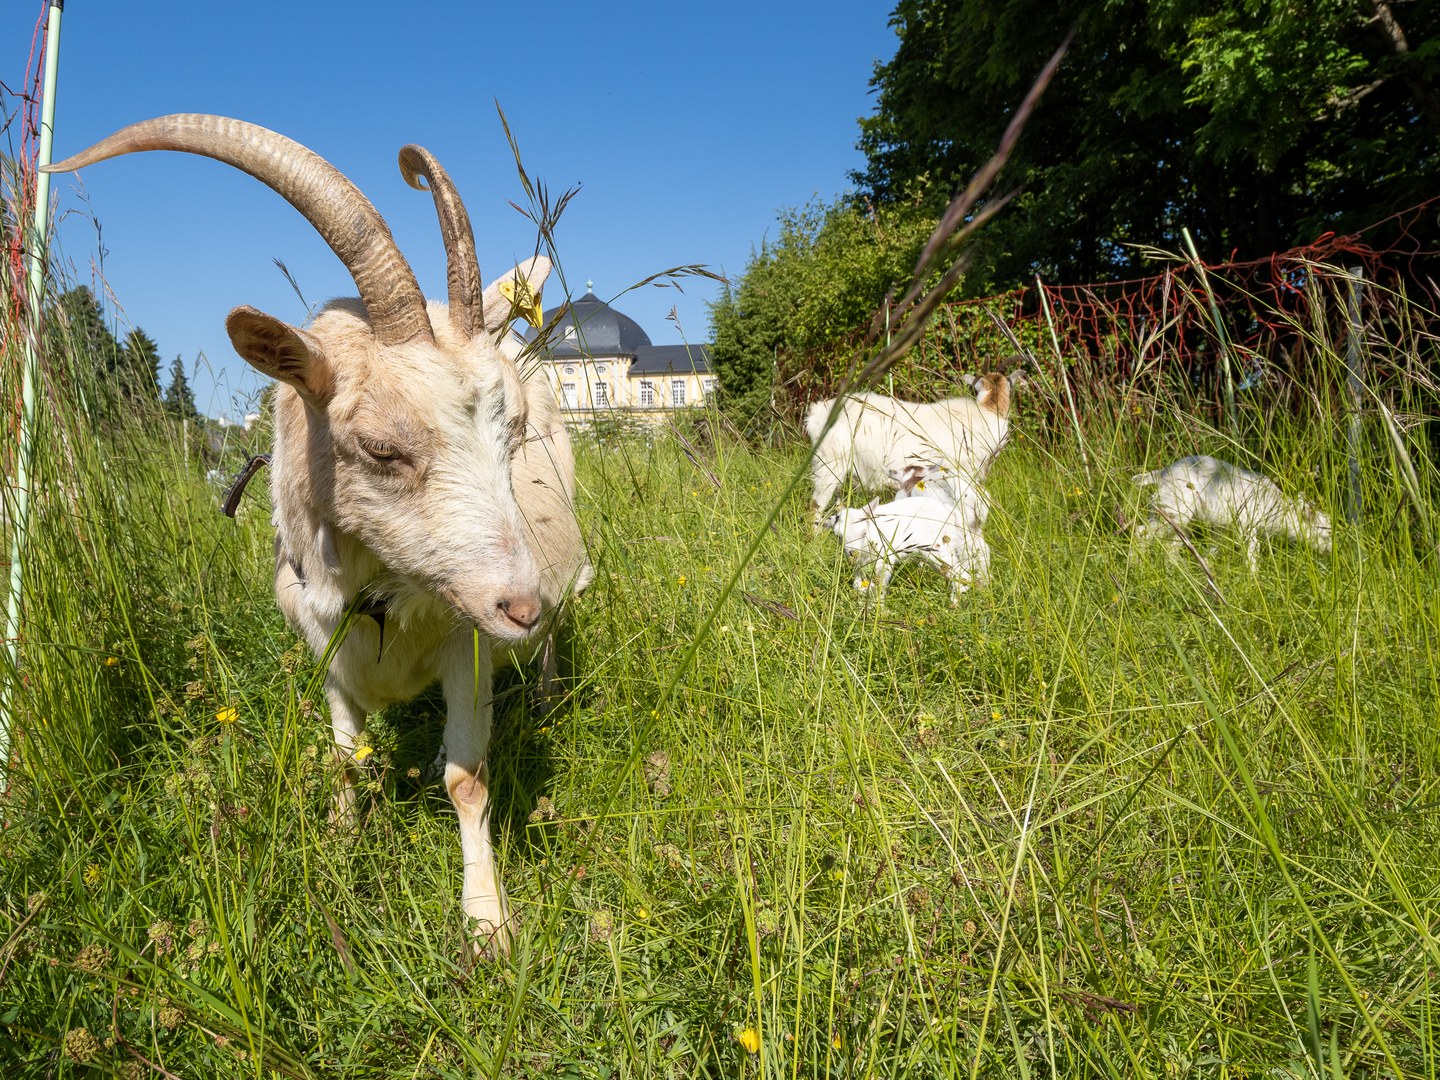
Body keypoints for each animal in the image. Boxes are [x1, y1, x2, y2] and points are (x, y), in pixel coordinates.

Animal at [49, 114, 590, 961]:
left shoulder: (468, 650)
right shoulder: (324, 646)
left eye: (514, 431)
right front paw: (339, 844)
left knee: (553, 647)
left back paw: (544, 692)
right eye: (382, 449)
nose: (518, 605)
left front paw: (486, 926)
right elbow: (344, 759)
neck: (384, 596)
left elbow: (467, 779)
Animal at [823, 498, 990, 610]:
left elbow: (880, 585)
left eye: (864, 533)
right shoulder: (860, 565)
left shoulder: (883, 559)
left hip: (936, 549)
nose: (853, 553)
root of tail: (953, 513)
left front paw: (878, 609)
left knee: (962, 573)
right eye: (838, 537)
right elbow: (859, 585)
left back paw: (953, 604)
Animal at [1128, 455, 1330, 576]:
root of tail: (1162, 472)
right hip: (1173, 509)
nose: (1332, 552)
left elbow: (1212, 551)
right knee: (1140, 533)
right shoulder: (1247, 527)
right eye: (1326, 533)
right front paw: (1254, 583)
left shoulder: (1224, 530)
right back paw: (1135, 567)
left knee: (1171, 545)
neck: (1273, 506)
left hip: (1177, 517)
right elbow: (1252, 556)